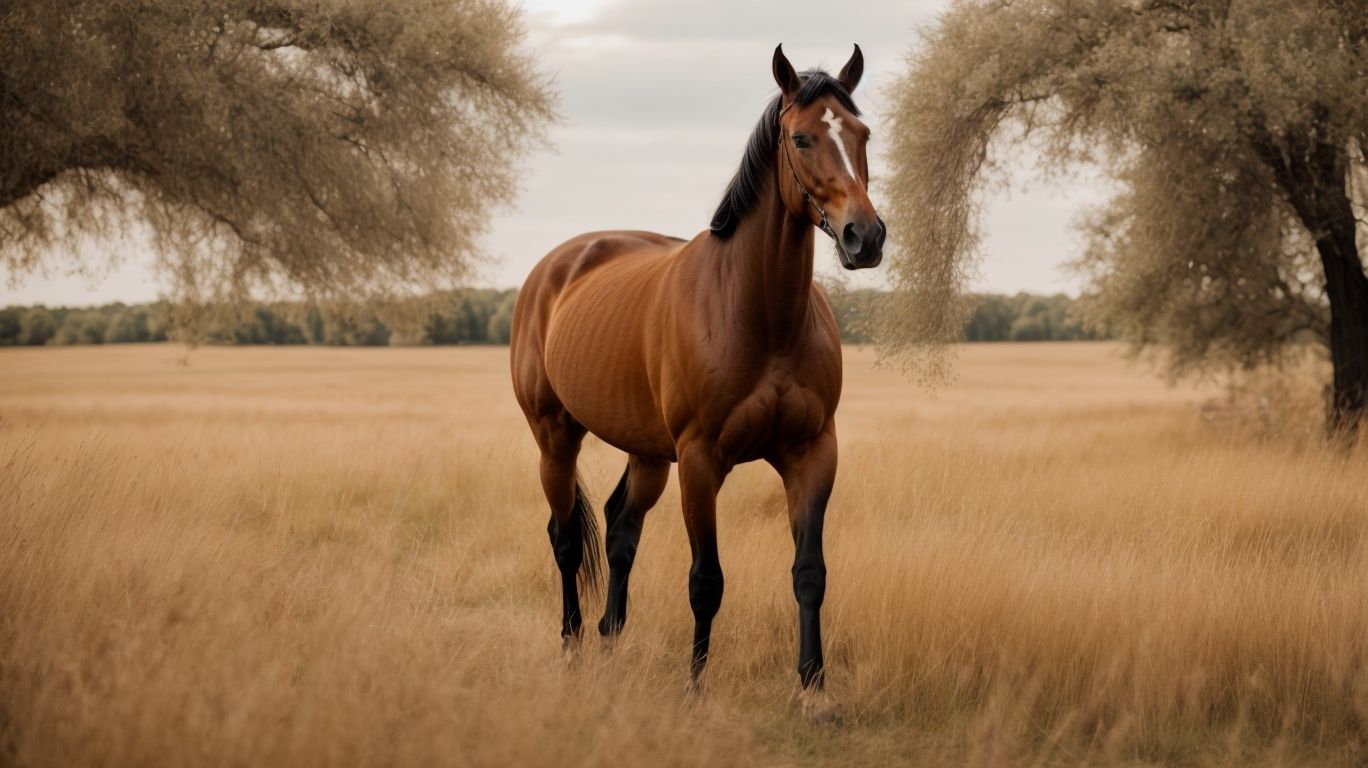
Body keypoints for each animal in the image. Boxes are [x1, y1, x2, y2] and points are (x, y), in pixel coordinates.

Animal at [510, 44, 884, 716]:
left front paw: (814, 690)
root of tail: (556, 268)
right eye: (802, 137)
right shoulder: (701, 460)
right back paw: (572, 647)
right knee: (565, 538)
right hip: (556, 436)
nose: (864, 237)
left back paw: (609, 642)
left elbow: (809, 572)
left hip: (647, 452)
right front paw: (695, 688)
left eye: (862, 134)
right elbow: (706, 580)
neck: (757, 313)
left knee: (621, 529)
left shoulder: (813, 453)